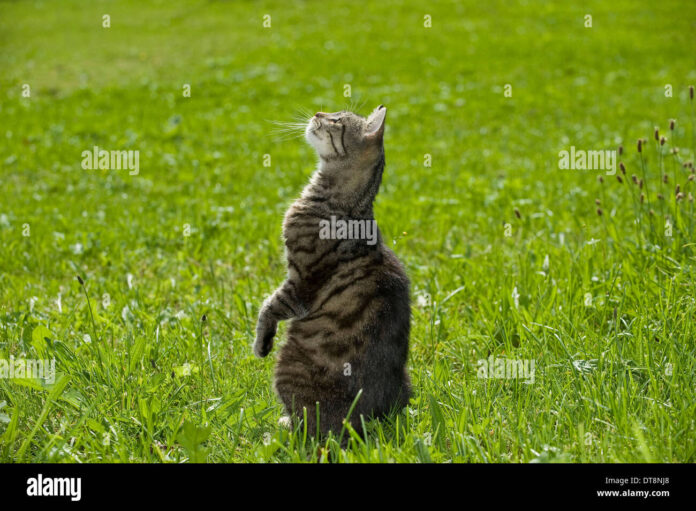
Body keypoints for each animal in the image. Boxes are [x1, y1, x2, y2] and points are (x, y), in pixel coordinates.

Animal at [253, 106, 410, 438]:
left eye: (337, 120)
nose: (317, 112)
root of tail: (369, 422)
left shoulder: (300, 284)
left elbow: (268, 307)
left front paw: (262, 343)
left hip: (288, 367)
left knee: (310, 429)